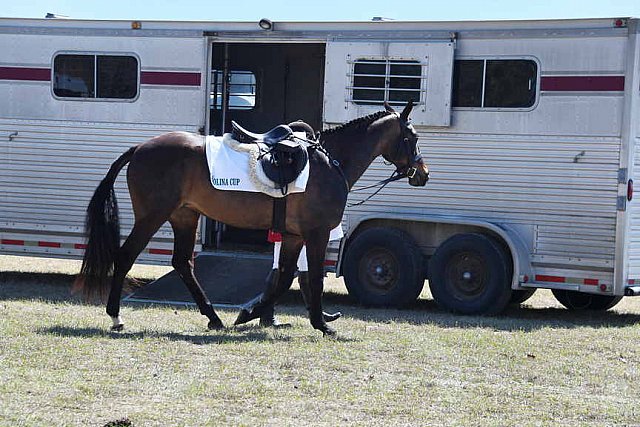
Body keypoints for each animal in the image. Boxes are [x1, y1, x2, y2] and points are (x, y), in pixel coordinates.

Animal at [75, 102, 430, 336]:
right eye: (412, 137)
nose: (422, 173)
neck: (329, 162)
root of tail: (140, 148)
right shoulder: (314, 234)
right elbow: (312, 278)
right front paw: (319, 324)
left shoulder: (293, 236)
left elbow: (285, 277)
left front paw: (249, 313)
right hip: (153, 215)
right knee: (125, 257)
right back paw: (116, 317)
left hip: (184, 216)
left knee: (183, 263)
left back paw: (214, 317)